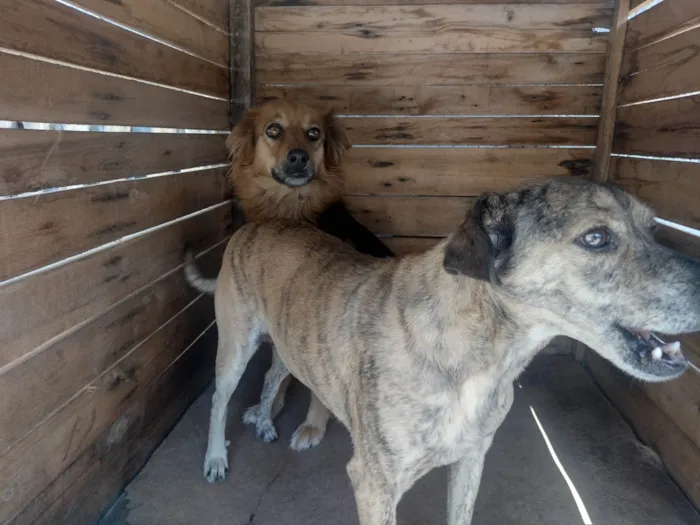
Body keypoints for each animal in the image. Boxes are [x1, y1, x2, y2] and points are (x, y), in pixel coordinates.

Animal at [183, 178, 696, 520]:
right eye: (596, 237)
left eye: (653, 228)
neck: (478, 357)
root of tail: (253, 227)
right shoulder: (373, 486)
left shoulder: (471, 460)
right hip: (235, 347)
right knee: (219, 399)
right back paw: (215, 458)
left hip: (289, 344)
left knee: (273, 376)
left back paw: (265, 419)